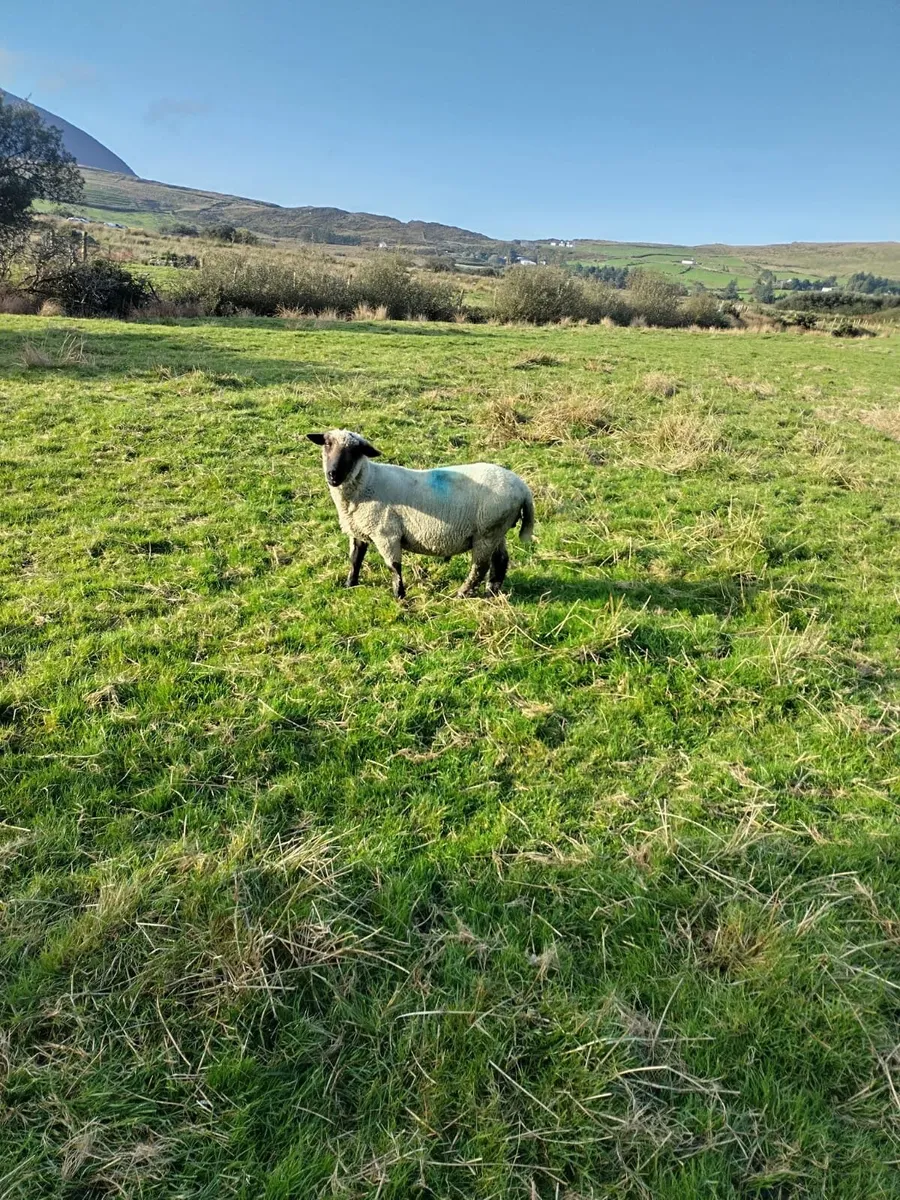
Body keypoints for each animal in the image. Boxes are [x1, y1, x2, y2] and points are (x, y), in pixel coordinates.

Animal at [307, 429, 534, 599]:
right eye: (327, 444)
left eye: (355, 451)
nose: (333, 475)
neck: (365, 483)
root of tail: (523, 488)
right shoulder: (359, 530)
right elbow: (355, 560)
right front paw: (350, 584)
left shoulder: (386, 533)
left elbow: (394, 566)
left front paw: (399, 595)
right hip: (497, 530)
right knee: (500, 561)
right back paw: (492, 591)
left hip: (487, 531)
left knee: (480, 566)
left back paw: (462, 593)